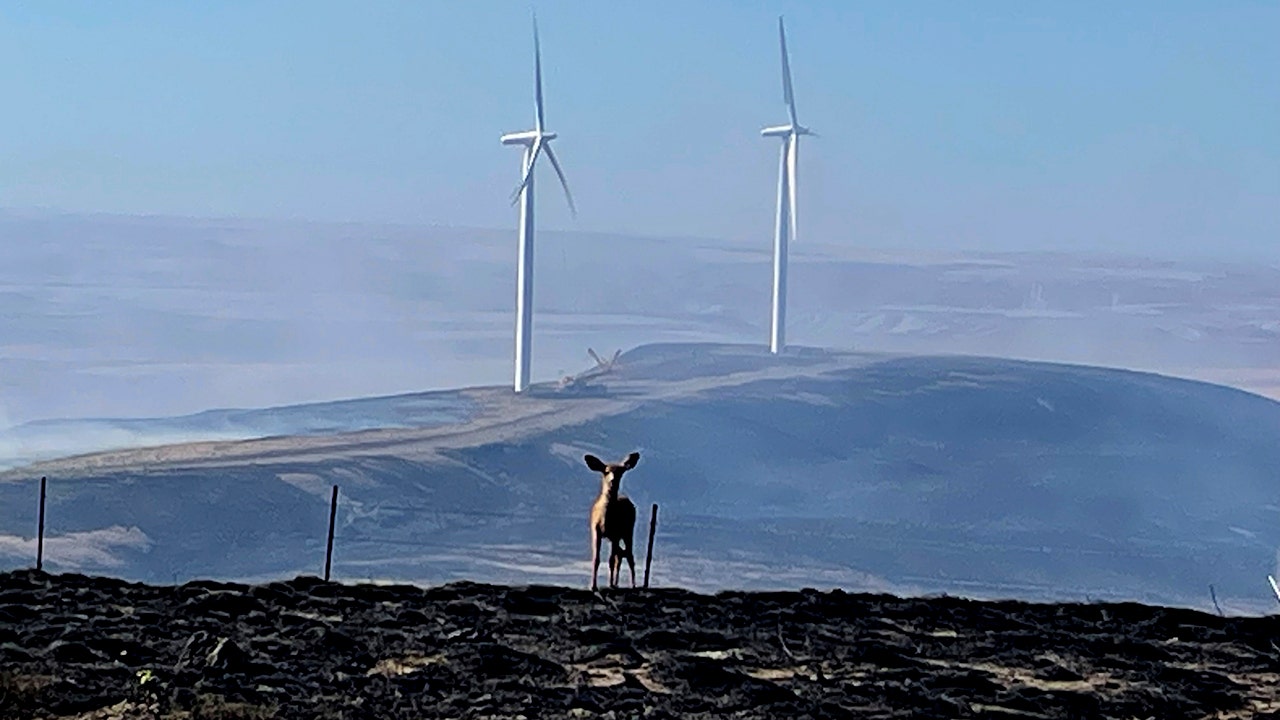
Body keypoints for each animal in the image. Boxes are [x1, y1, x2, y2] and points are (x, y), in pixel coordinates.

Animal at [583, 448, 637, 589]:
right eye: (606, 471)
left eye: (621, 472)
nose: (613, 481)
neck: (606, 519)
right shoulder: (595, 530)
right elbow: (596, 559)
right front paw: (593, 585)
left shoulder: (616, 533)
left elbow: (611, 560)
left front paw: (610, 585)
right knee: (620, 555)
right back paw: (616, 583)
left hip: (628, 531)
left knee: (629, 556)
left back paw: (632, 585)